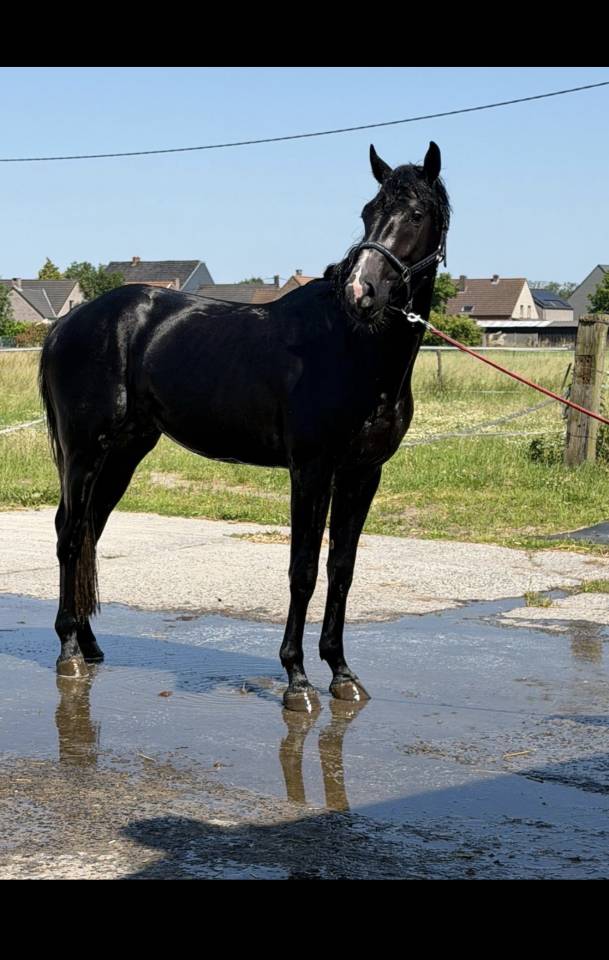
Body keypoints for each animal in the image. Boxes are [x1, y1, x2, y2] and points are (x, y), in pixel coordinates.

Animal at [39, 141, 450, 713]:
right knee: (70, 534)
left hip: (124, 452)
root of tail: (66, 324)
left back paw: (91, 644)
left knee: (90, 533)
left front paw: (342, 673)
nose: (361, 290)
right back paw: (69, 652)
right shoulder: (312, 469)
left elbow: (341, 569)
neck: (354, 346)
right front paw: (297, 679)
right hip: (84, 451)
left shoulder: (363, 473)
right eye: (369, 213)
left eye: (414, 214)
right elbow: (303, 570)